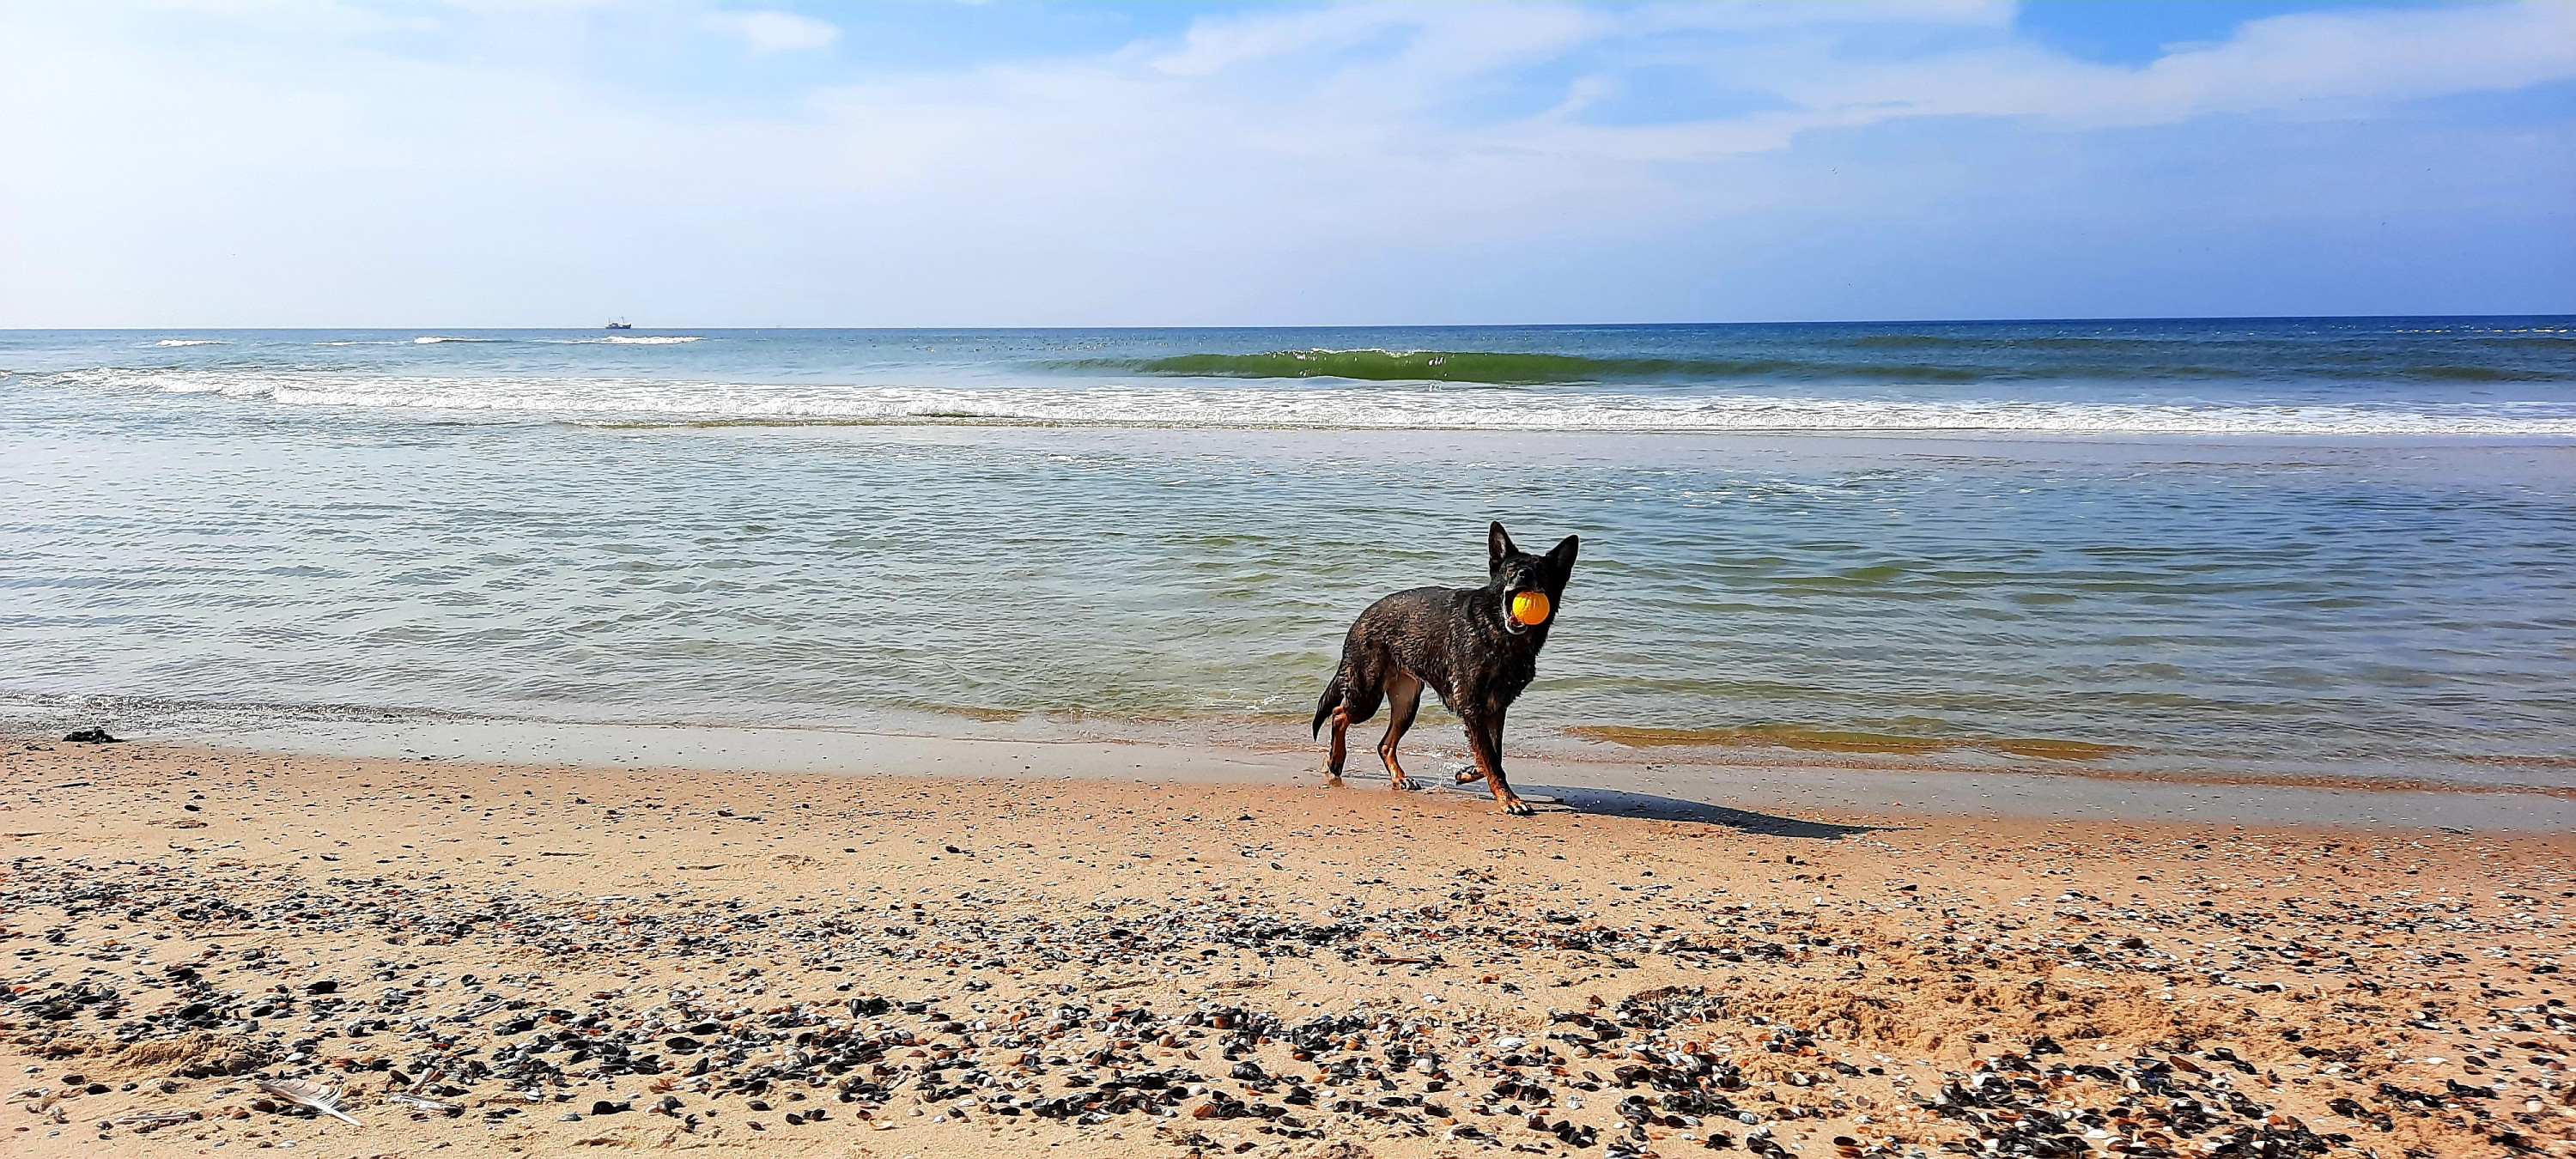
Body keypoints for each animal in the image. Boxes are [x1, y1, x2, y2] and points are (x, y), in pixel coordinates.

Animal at [1319, 523, 1577, 814]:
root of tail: (1360, 619)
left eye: (1542, 571)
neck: (1496, 630)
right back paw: (1335, 760)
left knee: (1384, 744)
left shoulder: (1496, 708)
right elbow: (1491, 757)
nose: (1524, 575)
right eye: (1512, 568)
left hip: (1406, 704)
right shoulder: (1474, 707)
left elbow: (1493, 754)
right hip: (1367, 696)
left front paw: (1468, 772)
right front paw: (1508, 799)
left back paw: (1399, 777)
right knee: (1339, 714)